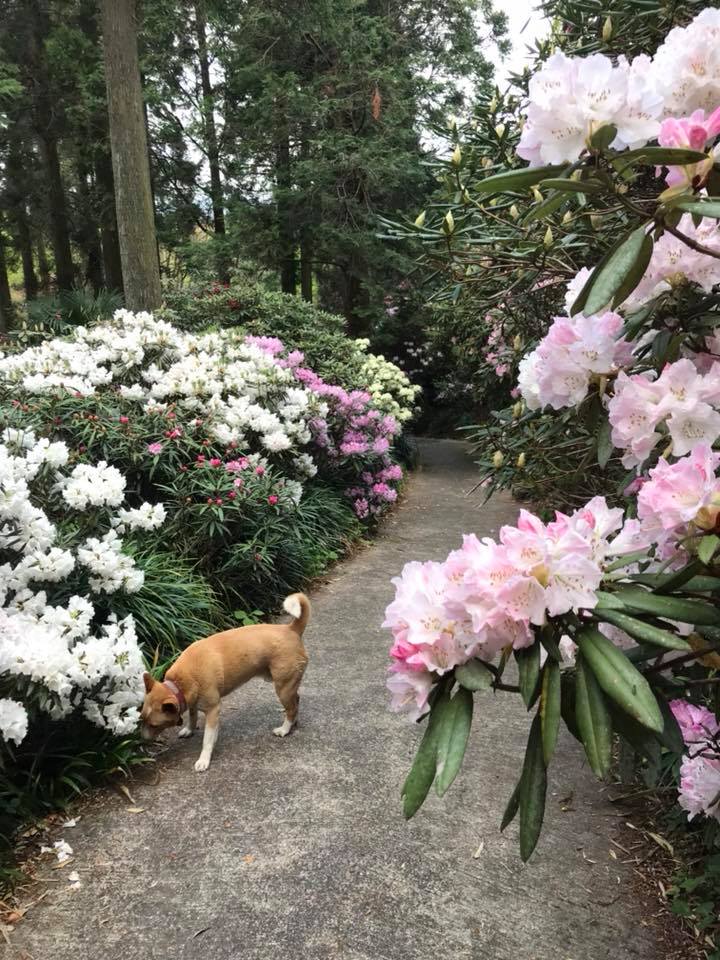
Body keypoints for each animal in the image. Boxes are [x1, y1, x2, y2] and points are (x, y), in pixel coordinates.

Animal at [140, 592, 310, 772]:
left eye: (154, 725)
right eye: (142, 719)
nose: (141, 739)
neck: (179, 683)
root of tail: (291, 629)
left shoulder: (213, 711)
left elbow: (207, 739)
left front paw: (204, 759)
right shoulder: (192, 702)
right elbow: (192, 716)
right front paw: (189, 729)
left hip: (283, 687)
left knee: (291, 708)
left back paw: (285, 729)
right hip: (288, 686)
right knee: (296, 701)